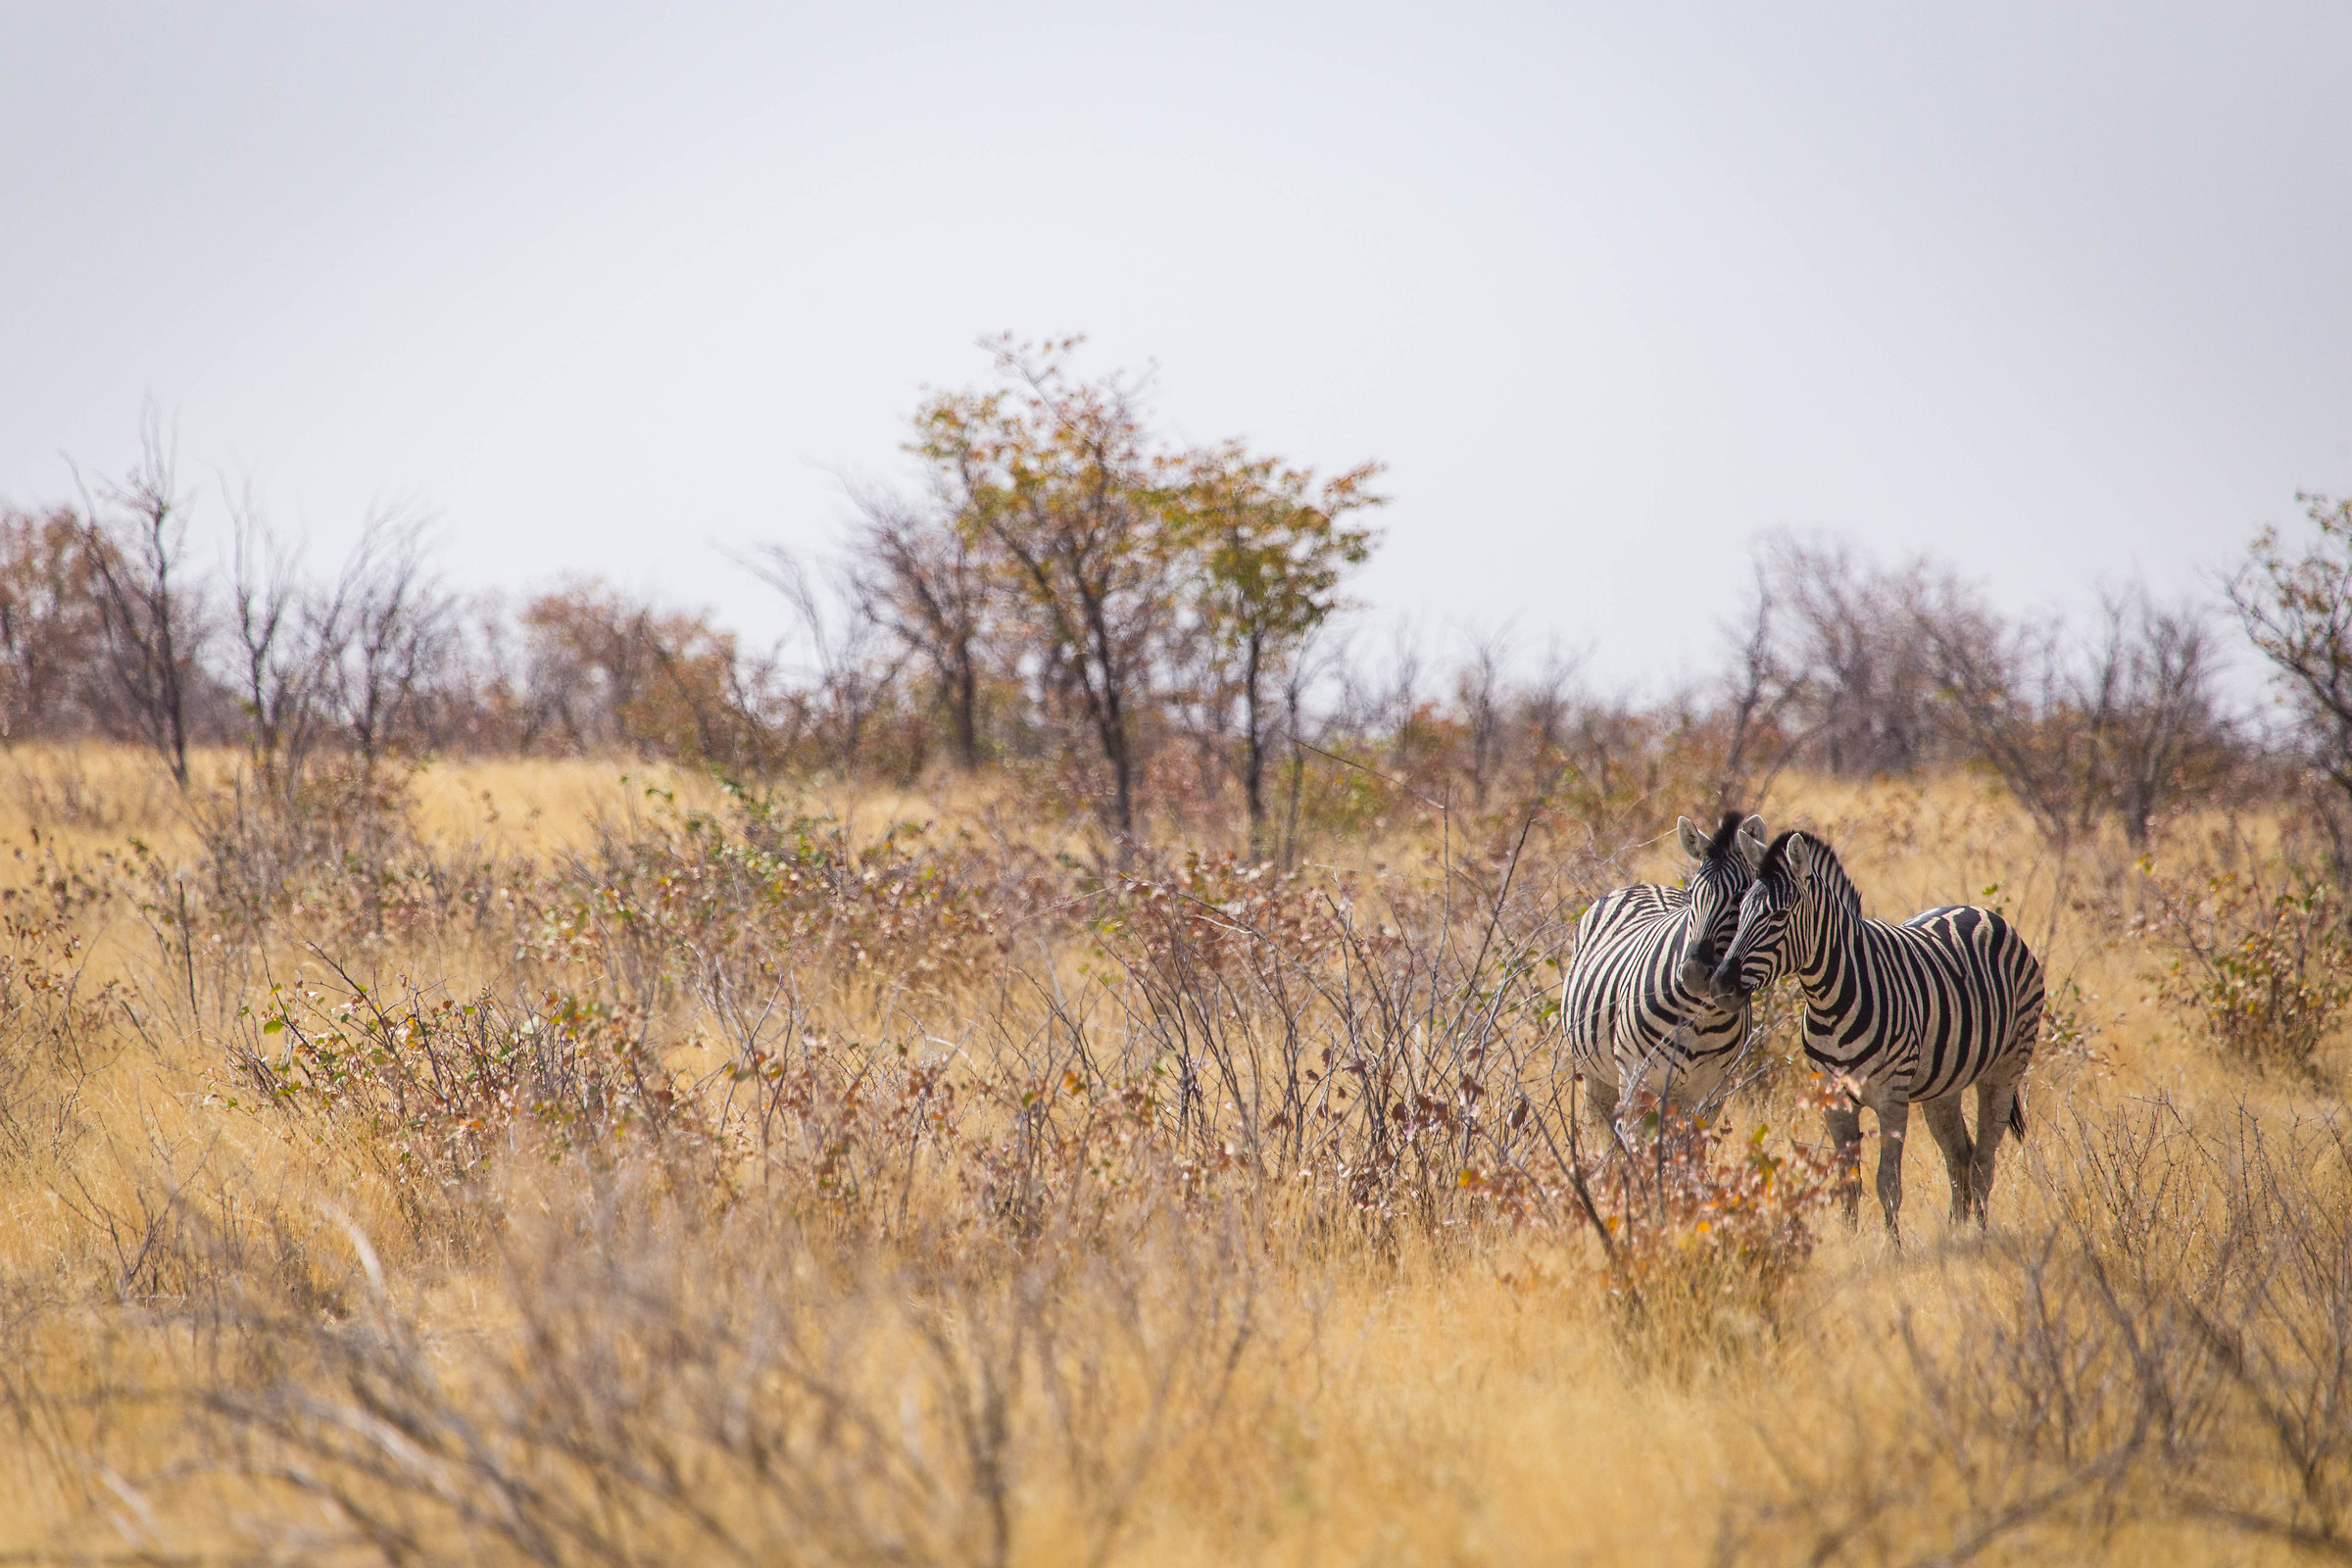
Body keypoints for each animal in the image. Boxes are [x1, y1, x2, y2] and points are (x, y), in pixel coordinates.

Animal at [1562, 811, 1770, 1126]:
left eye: (1741, 896)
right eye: (1692, 893)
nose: (1694, 975)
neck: (1702, 1015)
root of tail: (1644, 884)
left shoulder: (1711, 1091)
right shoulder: (1637, 1080)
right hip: (1595, 1074)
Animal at [1705, 829, 2044, 1234]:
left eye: (1778, 916)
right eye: (1740, 912)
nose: (1719, 987)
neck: (1830, 999)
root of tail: (1978, 911)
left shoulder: (1891, 1098)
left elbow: (1888, 1184)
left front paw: (1892, 1246)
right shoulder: (1833, 1100)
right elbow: (1848, 1183)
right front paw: (1850, 1242)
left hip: (2006, 1068)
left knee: (1982, 1161)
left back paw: (1978, 1233)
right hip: (1943, 1086)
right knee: (1959, 1156)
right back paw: (1955, 1234)